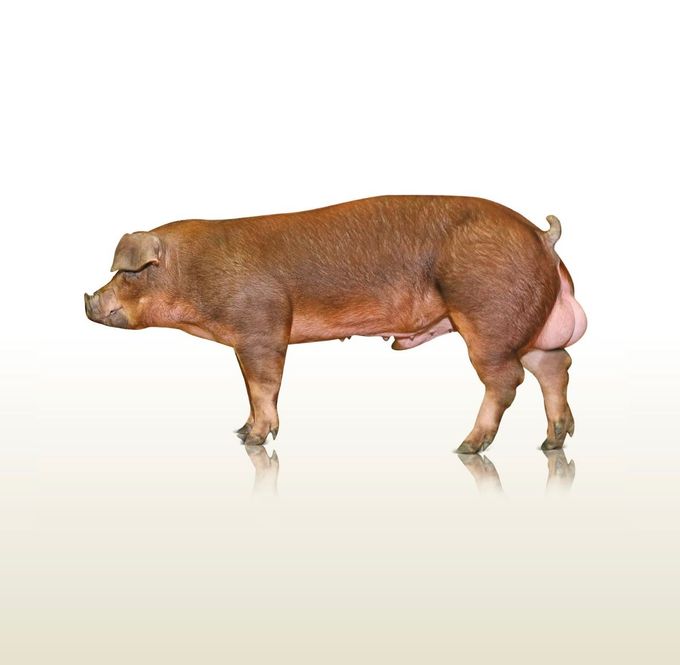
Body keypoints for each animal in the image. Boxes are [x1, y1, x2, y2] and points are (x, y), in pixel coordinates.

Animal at [84, 195, 587, 452]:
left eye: (128, 272)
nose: (88, 302)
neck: (195, 271)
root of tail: (542, 236)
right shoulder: (244, 339)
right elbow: (249, 388)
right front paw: (240, 433)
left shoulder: (263, 325)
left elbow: (264, 385)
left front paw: (254, 440)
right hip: (530, 326)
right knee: (555, 365)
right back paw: (552, 443)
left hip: (488, 315)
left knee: (507, 379)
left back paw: (466, 446)